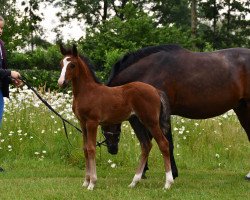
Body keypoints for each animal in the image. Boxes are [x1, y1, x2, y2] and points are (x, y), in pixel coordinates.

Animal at [57, 44, 174, 191]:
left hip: (151, 122)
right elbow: (85, 149)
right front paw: (85, 182)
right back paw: (134, 182)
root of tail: (156, 91)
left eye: (72, 65)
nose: (61, 82)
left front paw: (92, 183)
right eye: (61, 64)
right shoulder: (82, 123)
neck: (87, 92)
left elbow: (91, 148)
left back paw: (168, 183)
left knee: (163, 144)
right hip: (137, 122)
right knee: (146, 145)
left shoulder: (92, 122)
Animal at [102, 44, 250, 178]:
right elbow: (149, 141)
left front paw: (171, 173)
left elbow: (165, 143)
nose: (112, 148)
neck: (148, 71)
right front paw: (144, 170)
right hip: (241, 108)